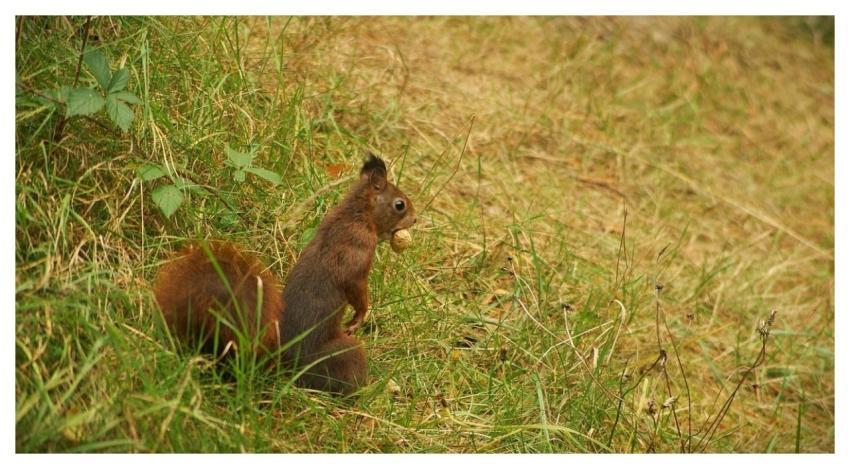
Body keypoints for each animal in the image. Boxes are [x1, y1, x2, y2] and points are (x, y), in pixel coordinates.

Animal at [152, 154, 416, 395]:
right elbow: (357, 289)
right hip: (342, 355)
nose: (415, 219)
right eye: (399, 204)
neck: (357, 214)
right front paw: (359, 317)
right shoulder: (357, 252)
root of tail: (278, 364)